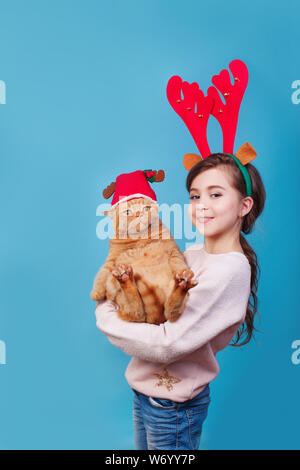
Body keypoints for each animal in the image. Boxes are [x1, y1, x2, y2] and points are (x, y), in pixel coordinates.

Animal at [90, 196, 198, 324]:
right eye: (128, 212)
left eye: (146, 208)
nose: (139, 214)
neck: (140, 238)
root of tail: (157, 318)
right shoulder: (111, 259)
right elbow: (102, 273)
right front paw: (97, 293)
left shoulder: (173, 250)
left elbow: (179, 262)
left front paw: (185, 273)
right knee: (137, 313)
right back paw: (125, 277)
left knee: (169, 312)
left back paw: (183, 284)